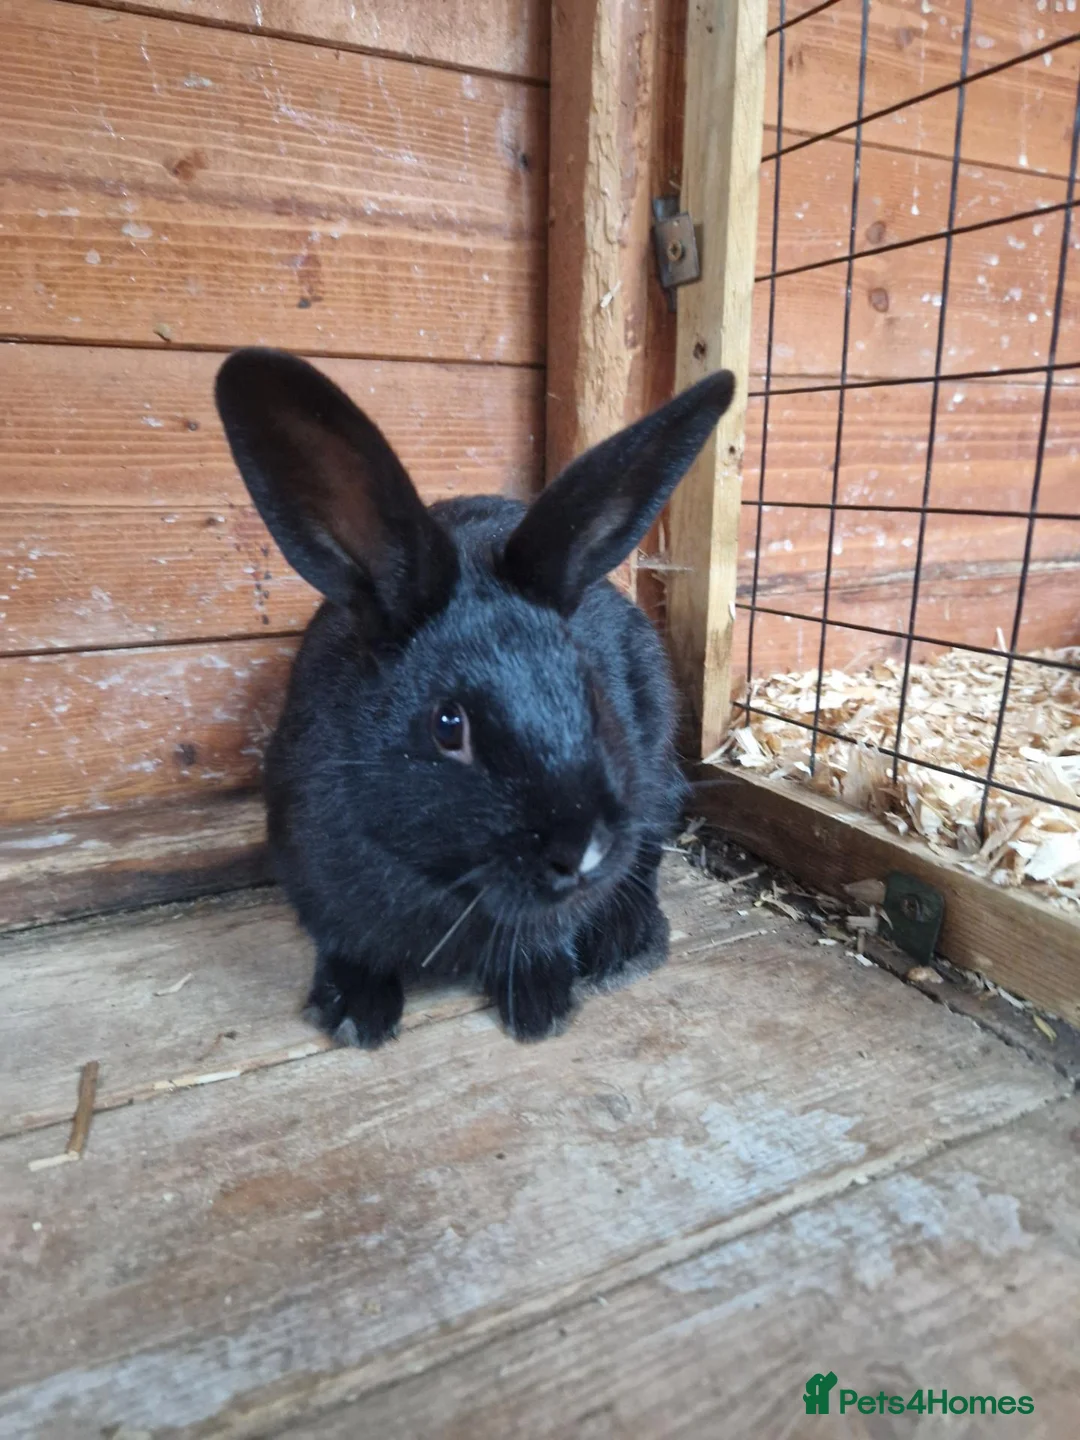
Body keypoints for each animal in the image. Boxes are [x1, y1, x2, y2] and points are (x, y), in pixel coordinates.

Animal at [215, 349, 734, 1047]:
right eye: (446, 725)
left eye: (591, 690)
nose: (582, 851)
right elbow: (347, 944)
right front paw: (355, 1014)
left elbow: (541, 936)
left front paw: (541, 1001)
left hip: (653, 774)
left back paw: (627, 947)